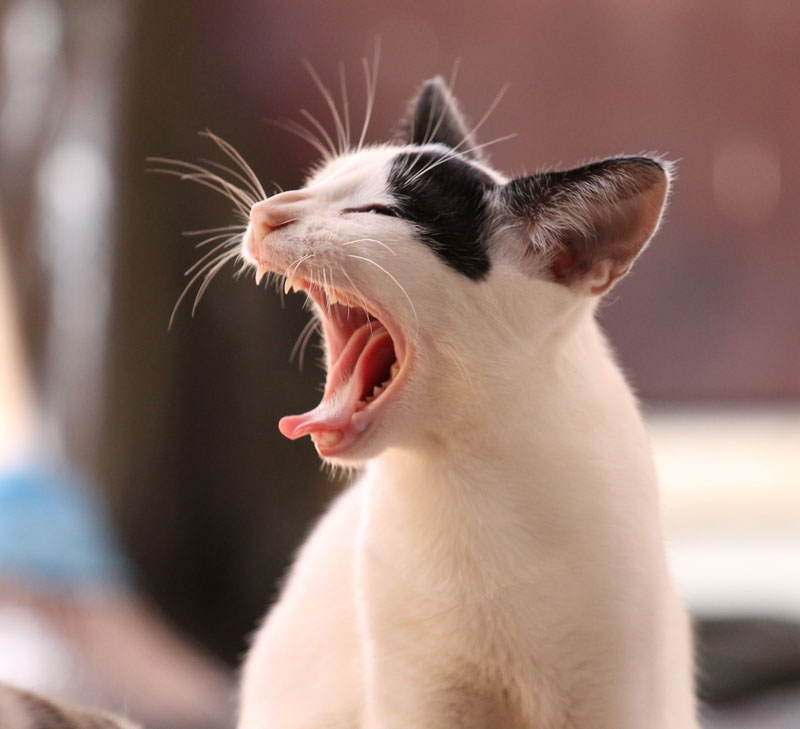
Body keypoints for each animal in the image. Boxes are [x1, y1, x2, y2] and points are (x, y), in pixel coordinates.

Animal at [234, 79, 696, 728]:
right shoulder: (416, 693)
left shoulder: (619, 691)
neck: (466, 482)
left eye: (376, 213)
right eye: (317, 181)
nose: (265, 212)